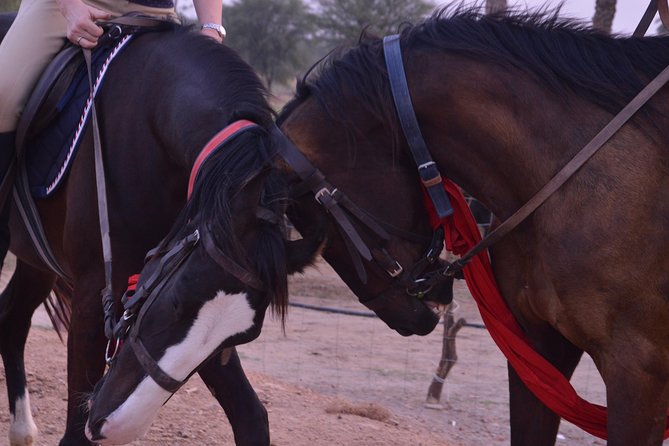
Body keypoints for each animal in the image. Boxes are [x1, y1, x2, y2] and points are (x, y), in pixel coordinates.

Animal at [0, 21, 318, 446]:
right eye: (175, 303)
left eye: (240, 338)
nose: (115, 427)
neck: (149, 130)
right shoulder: (92, 295)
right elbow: (74, 435)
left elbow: (251, 415)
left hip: (37, 262)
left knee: (11, 318)